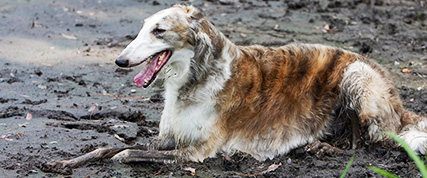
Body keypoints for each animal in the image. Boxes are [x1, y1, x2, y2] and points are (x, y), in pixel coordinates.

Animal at [45, 4, 426, 168]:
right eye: (142, 27)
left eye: (159, 31)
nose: (120, 61)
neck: (194, 78)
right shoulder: (168, 138)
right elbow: (106, 147)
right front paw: (65, 162)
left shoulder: (196, 151)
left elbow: (126, 152)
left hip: (356, 76)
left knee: (365, 145)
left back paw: (321, 148)